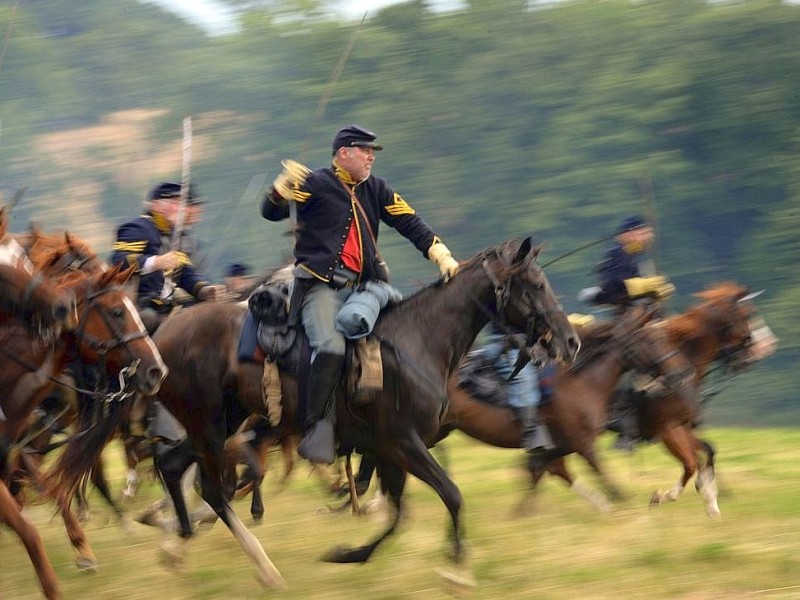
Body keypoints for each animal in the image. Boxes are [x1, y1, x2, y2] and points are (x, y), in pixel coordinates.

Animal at [150, 237, 580, 588]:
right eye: (535, 285)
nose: (571, 341)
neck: (418, 341)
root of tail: (162, 336)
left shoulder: (388, 451)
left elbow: (398, 514)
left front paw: (348, 554)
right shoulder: (403, 444)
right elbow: (451, 496)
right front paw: (457, 573)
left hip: (221, 423)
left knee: (175, 467)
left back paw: (177, 546)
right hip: (208, 426)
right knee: (210, 488)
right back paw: (263, 568)